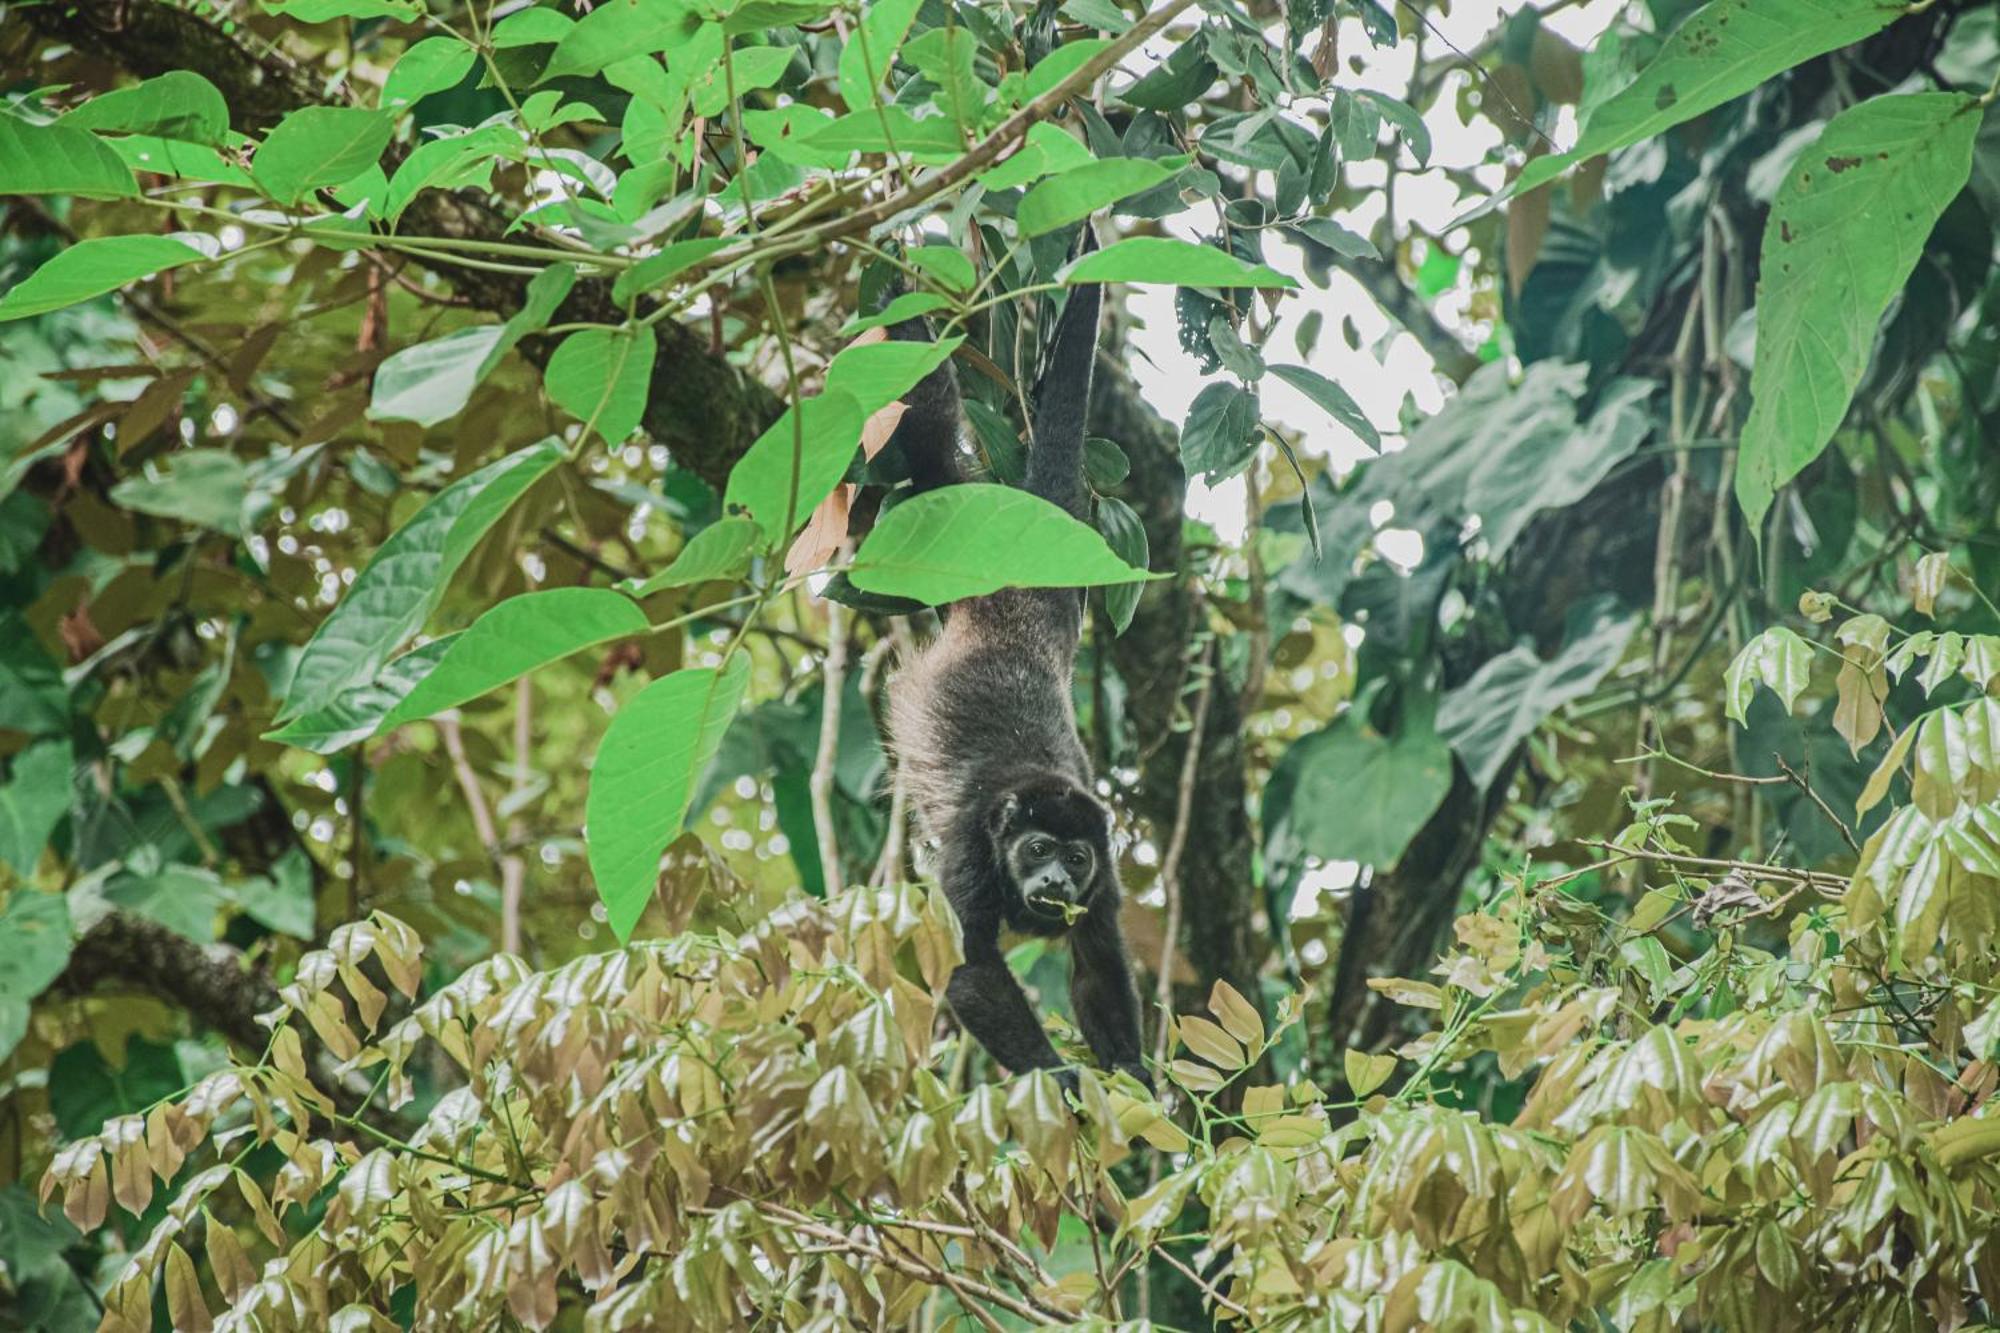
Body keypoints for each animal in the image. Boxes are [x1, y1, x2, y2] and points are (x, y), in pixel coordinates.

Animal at [884, 231, 1152, 1088]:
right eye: (1037, 849)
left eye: (1073, 854)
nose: (1057, 879)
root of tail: (1024, 592)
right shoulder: (972, 849)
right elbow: (968, 966)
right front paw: (1059, 1079)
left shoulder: (1107, 869)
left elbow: (1098, 957)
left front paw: (1138, 1076)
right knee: (931, 437)